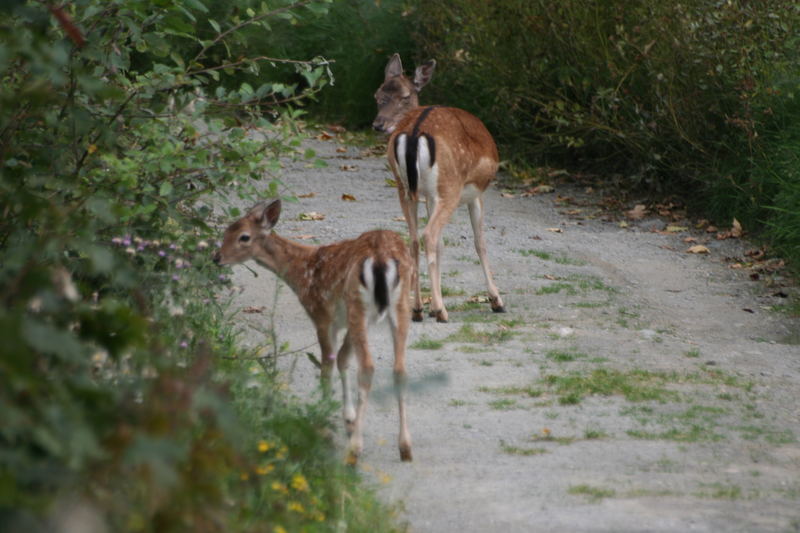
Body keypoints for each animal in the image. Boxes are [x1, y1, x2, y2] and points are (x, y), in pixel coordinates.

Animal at [212, 200, 412, 462]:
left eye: (243, 236)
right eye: (227, 230)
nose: (216, 257)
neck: (302, 272)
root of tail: (380, 258)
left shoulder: (321, 313)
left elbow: (327, 365)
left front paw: (324, 424)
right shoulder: (347, 321)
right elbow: (343, 359)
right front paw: (348, 420)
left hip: (358, 304)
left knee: (367, 367)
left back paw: (355, 449)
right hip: (400, 306)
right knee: (400, 369)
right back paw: (405, 446)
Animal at [372, 54, 504, 322]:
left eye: (404, 96)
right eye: (378, 96)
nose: (378, 124)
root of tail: (413, 133)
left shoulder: (428, 196)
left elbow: (442, 246)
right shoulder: (475, 194)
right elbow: (480, 242)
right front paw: (496, 300)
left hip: (404, 188)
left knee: (413, 239)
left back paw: (418, 309)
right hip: (451, 187)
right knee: (429, 235)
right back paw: (440, 311)